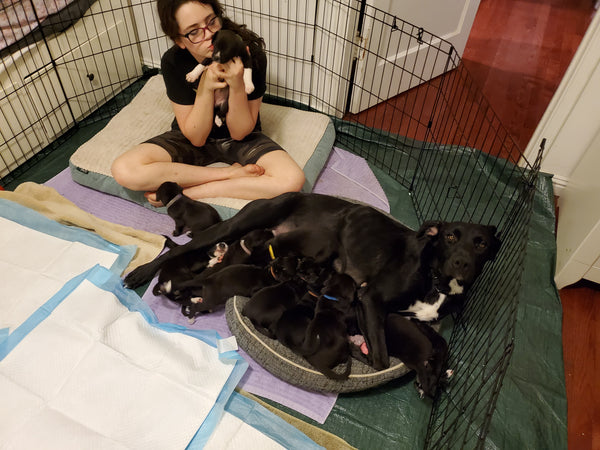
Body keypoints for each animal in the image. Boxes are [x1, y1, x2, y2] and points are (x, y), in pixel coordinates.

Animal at [124, 192, 500, 370]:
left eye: (480, 243)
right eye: (450, 237)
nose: (462, 262)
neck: (436, 279)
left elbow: (436, 342)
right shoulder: (371, 299)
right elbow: (380, 357)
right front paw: (358, 350)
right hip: (238, 224)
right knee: (179, 251)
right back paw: (140, 274)